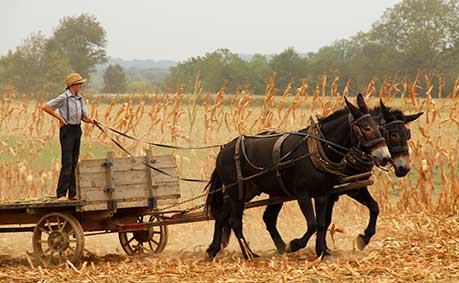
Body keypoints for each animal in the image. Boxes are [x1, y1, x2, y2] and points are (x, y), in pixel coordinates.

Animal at [207, 93, 390, 260]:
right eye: (367, 128)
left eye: (378, 127)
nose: (385, 157)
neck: (318, 148)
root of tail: (224, 149)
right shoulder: (303, 194)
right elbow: (312, 224)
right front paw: (294, 245)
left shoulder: (323, 194)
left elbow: (322, 223)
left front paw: (322, 251)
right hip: (235, 190)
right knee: (235, 221)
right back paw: (249, 254)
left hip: (247, 191)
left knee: (224, 215)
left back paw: (214, 249)